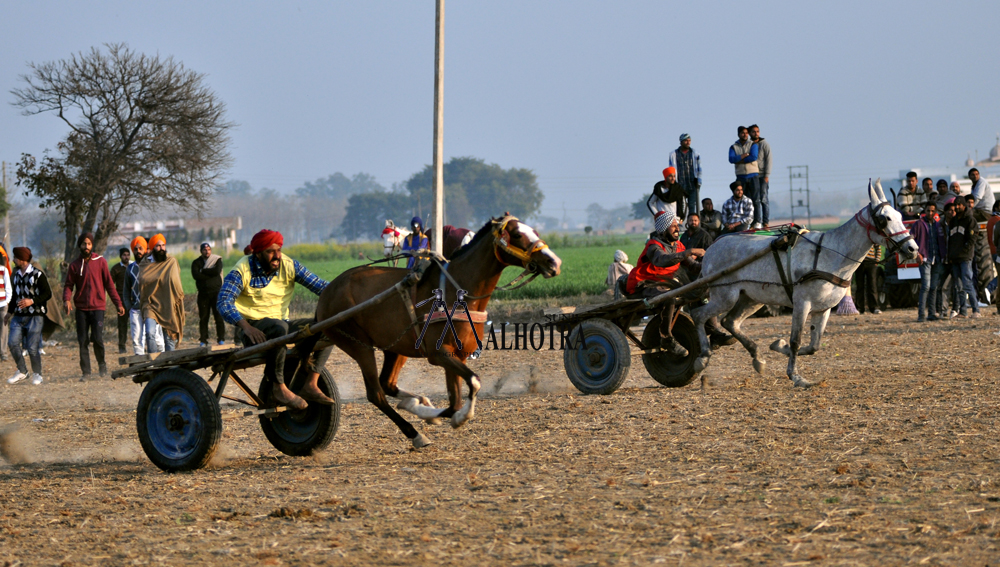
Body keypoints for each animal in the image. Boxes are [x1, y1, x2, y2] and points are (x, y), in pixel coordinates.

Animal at [314, 214, 560, 448]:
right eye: (517, 234)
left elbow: (454, 402)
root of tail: (327, 292)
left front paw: (430, 411)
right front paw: (458, 417)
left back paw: (414, 402)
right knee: (376, 394)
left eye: (535, 231)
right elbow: (472, 384)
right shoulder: (438, 354)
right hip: (358, 345)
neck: (457, 293)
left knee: (388, 384)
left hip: (395, 348)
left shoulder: (458, 355)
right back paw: (414, 433)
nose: (554, 262)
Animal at [692, 181, 916, 390]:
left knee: (730, 322)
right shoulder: (802, 303)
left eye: (899, 214)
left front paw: (778, 345)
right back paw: (703, 356)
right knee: (699, 315)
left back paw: (757, 357)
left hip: (751, 298)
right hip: (725, 296)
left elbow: (813, 345)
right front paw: (796, 376)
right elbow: (796, 340)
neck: (830, 253)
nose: (912, 248)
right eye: (885, 218)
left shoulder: (823, 308)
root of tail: (713, 246)